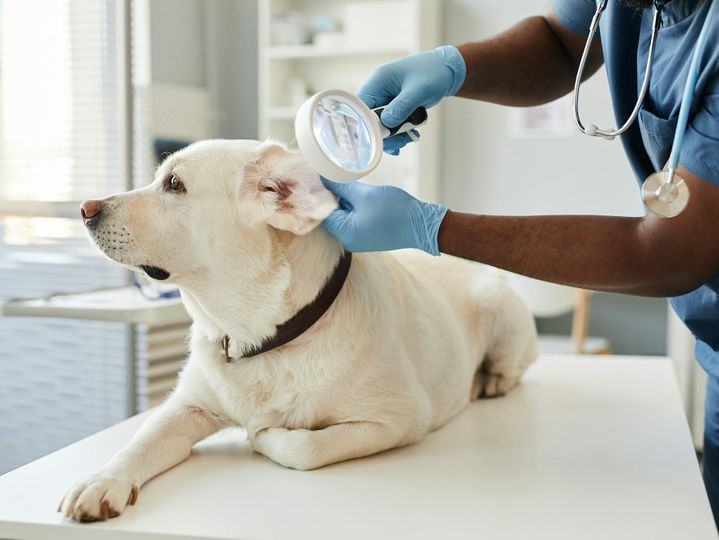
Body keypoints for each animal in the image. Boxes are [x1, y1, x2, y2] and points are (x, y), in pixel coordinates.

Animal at [59, 140, 536, 524]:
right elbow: (139, 443)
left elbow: (306, 448)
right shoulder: (186, 407)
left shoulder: (399, 418)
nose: (84, 209)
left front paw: (265, 435)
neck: (263, 336)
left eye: (174, 184)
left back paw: (488, 380)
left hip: (500, 307)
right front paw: (101, 481)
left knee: (513, 368)